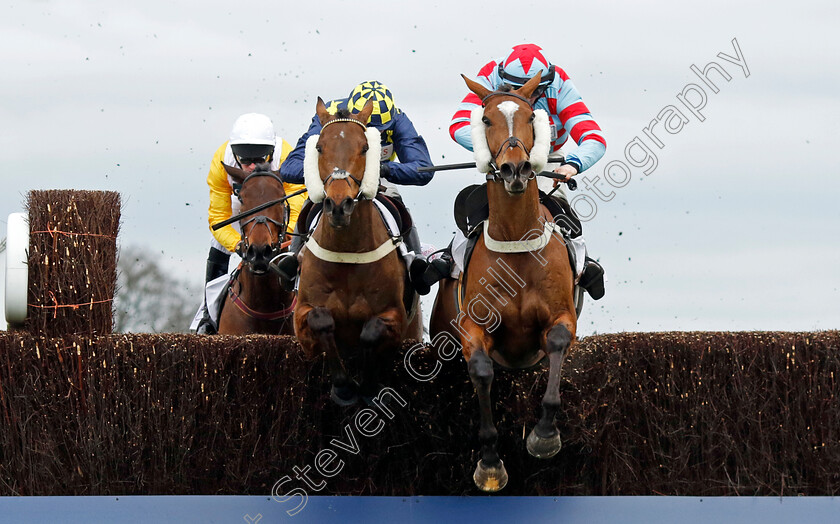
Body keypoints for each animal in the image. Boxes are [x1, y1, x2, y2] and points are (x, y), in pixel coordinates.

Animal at [296, 97, 426, 406]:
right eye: (319, 147)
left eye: (365, 147)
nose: (339, 206)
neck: (347, 253)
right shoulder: (301, 321)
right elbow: (322, 320)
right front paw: (343, 387)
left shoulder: (396, 317)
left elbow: (370, 331)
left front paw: (365, 386)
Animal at [434, 72, 576, 492]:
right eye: (485, 119)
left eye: (531, 117)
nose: (515, 169)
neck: (516, 241)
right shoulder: (472, 326)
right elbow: (482, 370)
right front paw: (490, 463)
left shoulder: (563, 316)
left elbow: (557, 342)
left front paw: (544, 436)